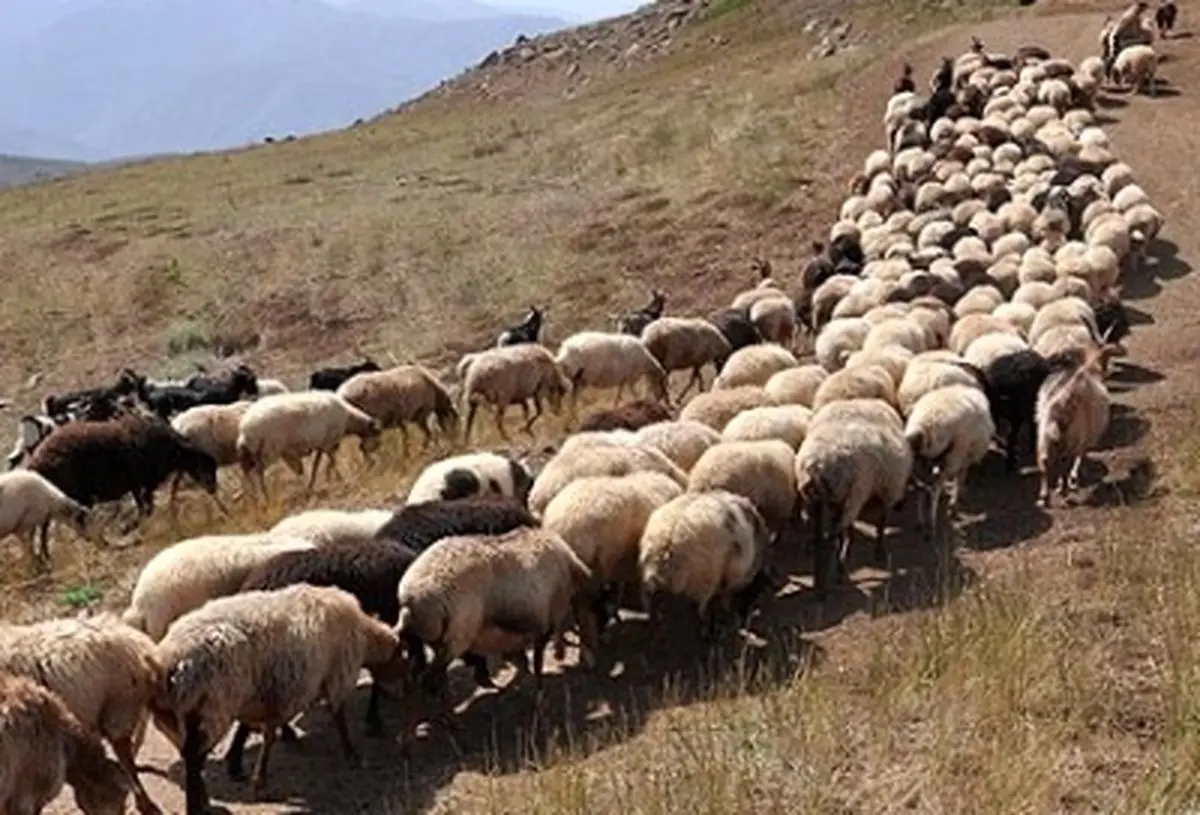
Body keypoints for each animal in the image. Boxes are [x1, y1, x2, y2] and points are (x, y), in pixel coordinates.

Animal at [28, 415, 220, 528]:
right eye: (204, 465)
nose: (213, 489)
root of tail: (36, 462)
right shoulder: (144, 483)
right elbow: (146, 506)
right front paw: (135, 525)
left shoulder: (138, 485)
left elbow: (144, 506)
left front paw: (137, 524)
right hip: (72, 495)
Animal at [796, 400, 907, 595]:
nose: (902, 505)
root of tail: (817, 465)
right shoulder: (887, 491)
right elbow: (881, 523)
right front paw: (879, 552)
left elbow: (848, 532)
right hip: (853, 496)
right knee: (828, 539)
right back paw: (827, 584)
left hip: (815, 501)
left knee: (821, 537)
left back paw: (822, 579)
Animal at [1036, 348, 1108, 504]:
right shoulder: (1084, 438)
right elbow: (1079, 457)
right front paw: (1073, 480)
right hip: (1071, 437)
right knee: (1063, 462)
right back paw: (1063, 490)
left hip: (1044, 435)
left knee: (1044, 461)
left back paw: (1044, 496)